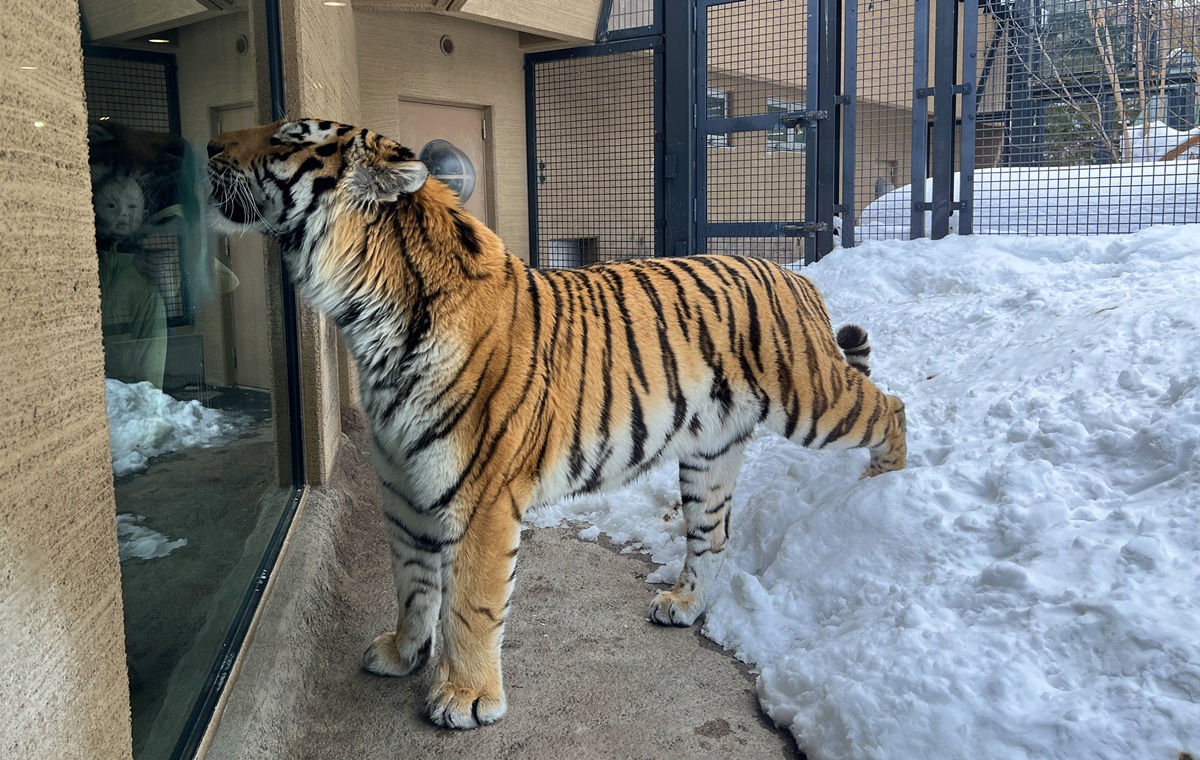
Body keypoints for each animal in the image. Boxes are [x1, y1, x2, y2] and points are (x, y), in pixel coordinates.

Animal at [206, 118, 902, 729]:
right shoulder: (403, 491)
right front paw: (404, 653)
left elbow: (470, 602)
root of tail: (792, 274)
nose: (206, 144)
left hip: (814, 401)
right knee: (713, 536)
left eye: (288, 136)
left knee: (888, 406)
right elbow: (411, 582)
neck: (364, 317)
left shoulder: (480, 498)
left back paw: (886, 484)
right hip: (709, 452)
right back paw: (683, 604)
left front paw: (466, 697)